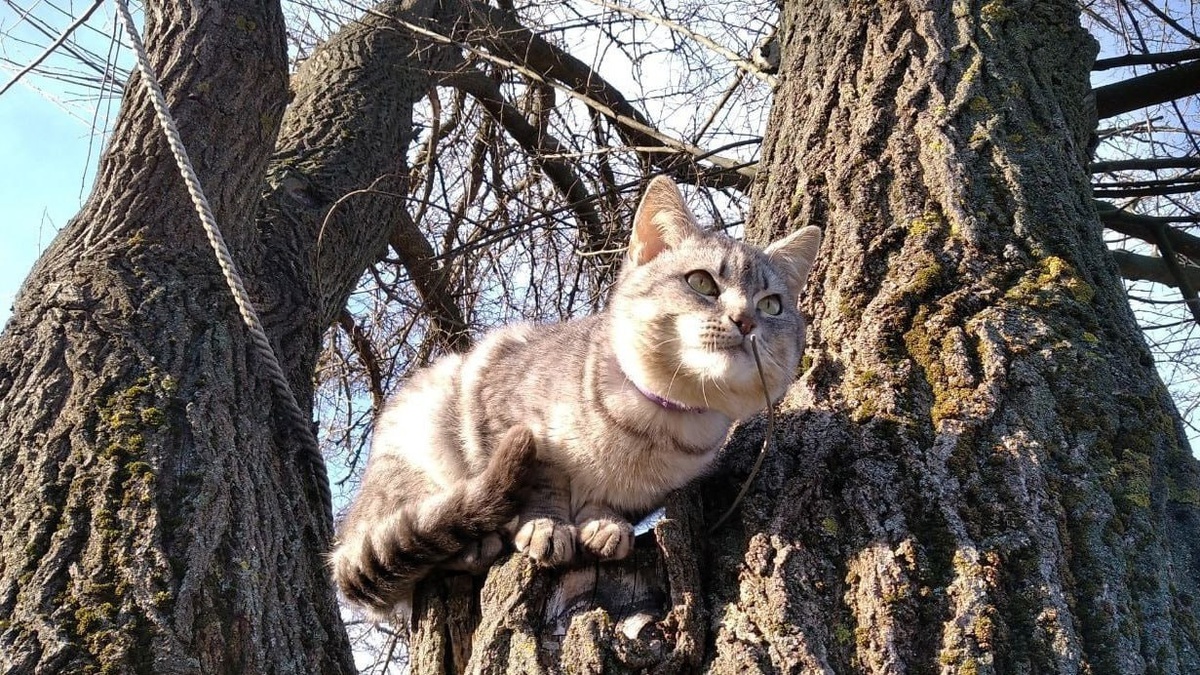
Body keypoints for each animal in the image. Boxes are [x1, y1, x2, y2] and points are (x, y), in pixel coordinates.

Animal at [330, 176, 822, 617]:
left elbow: (613, 502)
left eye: (772, 305)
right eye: (701, 283)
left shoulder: (658, 490)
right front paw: (547, 524)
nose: (745, 320)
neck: (654, 425)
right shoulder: (502, 410)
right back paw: (475, 542)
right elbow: (542, 481)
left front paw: (604, 523)